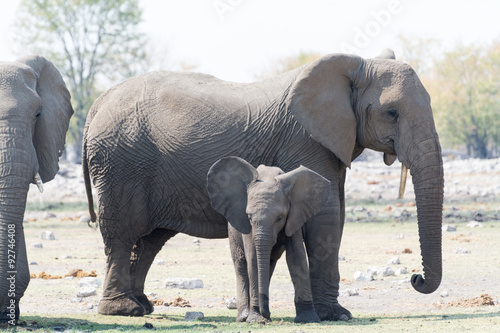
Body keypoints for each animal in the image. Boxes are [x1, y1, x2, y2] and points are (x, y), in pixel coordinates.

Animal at [205, 156, 330, 322]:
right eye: (249, 217)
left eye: (280, 218)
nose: (267, 316)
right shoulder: (246, 224)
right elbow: (253, 259)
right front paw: (256, 319)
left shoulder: (295, 216)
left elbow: (296, 257)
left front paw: (308, 319)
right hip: (232, 230)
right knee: (241, 264)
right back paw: (244, 316)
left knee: (268, 264)